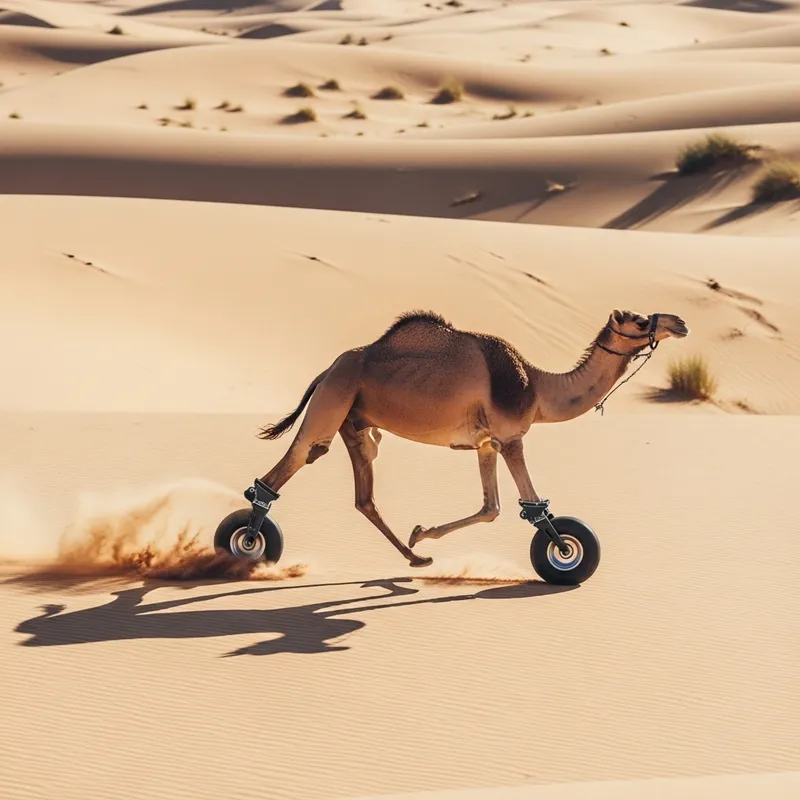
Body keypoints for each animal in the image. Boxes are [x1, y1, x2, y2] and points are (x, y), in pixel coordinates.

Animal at [255, 308, 689, 568]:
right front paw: (565, 551)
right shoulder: (511, 438)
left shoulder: (486, 443)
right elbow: (535, 507)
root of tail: (326, 371)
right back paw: (249, 544)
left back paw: (415, 558)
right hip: (332, 403)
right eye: (638, 320)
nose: (679, 322)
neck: (538, 388)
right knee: (288, 467)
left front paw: (421, 533)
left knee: (364, 498)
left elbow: (491, 508)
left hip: (356, 425)